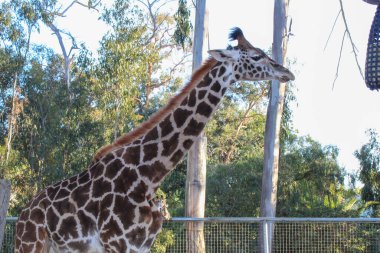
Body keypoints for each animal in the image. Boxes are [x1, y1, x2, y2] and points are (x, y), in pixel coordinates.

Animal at [14, 26, 294, 252]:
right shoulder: (117, 244)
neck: (148, 175)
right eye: (256, 56)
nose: (286, 72)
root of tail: (23, 214)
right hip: (30, 244)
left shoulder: (141, 245)